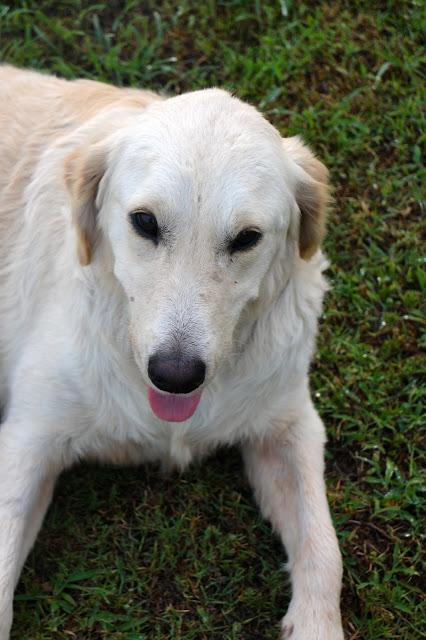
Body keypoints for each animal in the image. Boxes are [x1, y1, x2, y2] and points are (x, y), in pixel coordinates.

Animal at [0, 66, 344, 640]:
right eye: (144, 222)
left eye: (247, 238)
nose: (176, 375)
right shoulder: (27, 438)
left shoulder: (288, 425)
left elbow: (324, 550)